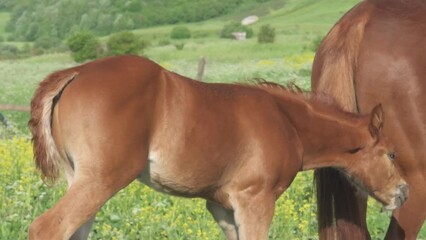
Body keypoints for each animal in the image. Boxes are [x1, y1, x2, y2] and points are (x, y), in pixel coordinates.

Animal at [28, 55, 408, 239]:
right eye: (391, 153)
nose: (403, 193)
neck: (286, 121)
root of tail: (74, 73)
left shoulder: (222, 207)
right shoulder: (255, 200)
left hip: (81, 179)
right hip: (102, 179)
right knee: (47, 228)